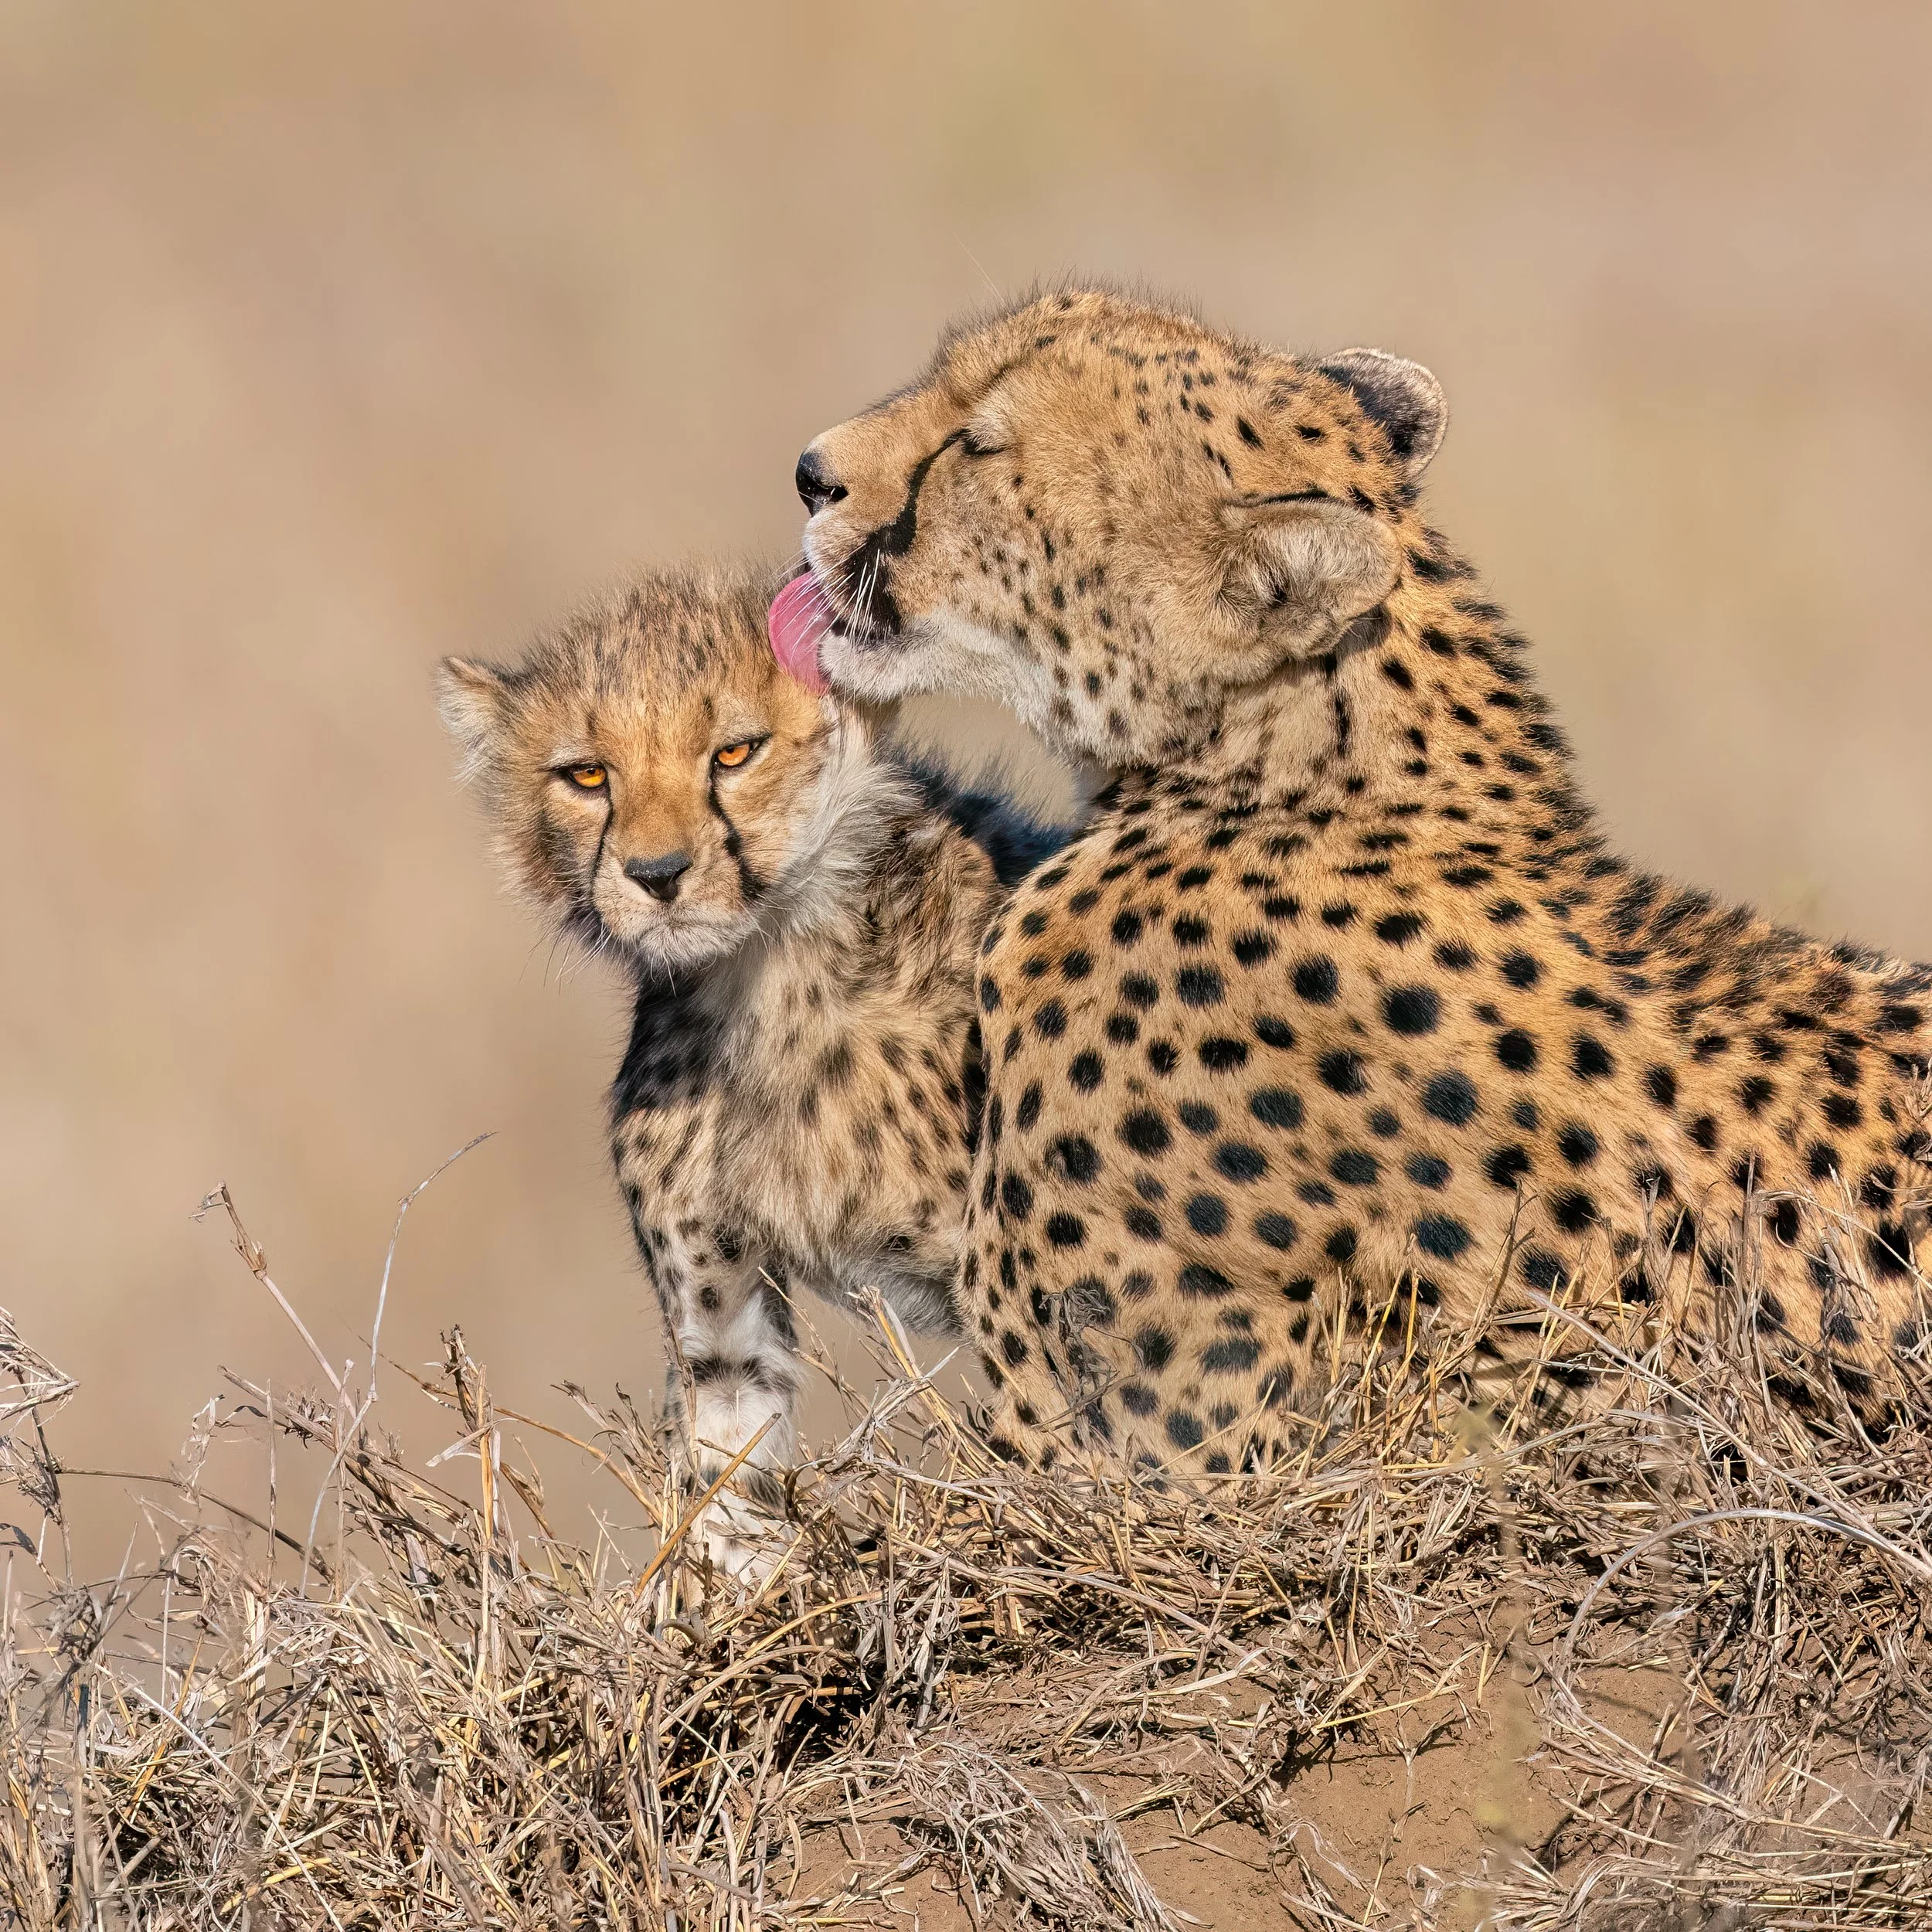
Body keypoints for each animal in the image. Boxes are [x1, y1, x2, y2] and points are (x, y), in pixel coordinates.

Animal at [438, 560, 1068, 1565]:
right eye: (587, 775)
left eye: (734, 754)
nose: (657, 873)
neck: (766, 974)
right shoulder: (721, 1319)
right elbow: (726, 1496)